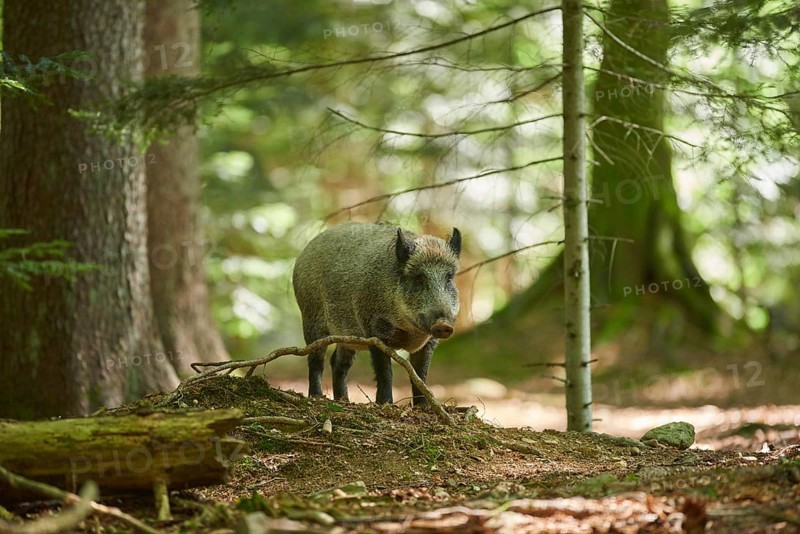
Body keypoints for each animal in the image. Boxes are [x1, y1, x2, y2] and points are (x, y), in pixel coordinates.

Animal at [292, 222, 461, 405]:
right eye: (419, 278)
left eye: (449, 278)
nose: (443, 324)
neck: (409, 330)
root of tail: (303, 253)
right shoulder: (374, 330)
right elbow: (385, 371)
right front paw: (385, 403)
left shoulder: (428, 342)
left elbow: (420, 375)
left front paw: (423, 406)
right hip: (311, 318)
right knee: (316, 359)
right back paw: (316, 396)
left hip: (348, 337)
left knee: (338, 362)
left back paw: (344, 400)